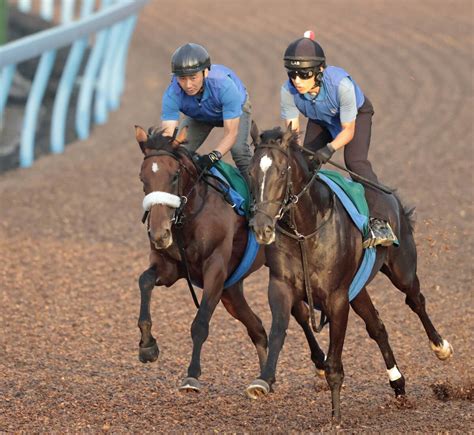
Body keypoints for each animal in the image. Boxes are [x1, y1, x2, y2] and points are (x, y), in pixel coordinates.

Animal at [135, 126, 270, 392]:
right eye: (143, 179)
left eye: (174, 176)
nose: (159, 234)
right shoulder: (170, 267)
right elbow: (144, 281)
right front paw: (147, 346)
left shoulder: (215, 269)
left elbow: (200, 323)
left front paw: (191, 375)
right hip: (232, 292)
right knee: (258, 329)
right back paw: (265, 380)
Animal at [244, 124, 452, 424]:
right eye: (250, 172)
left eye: (282, 172)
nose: (261, 227)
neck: (306, 231)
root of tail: (391, 196)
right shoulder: (281, 288)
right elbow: (279, 331)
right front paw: (263, 380)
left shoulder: (337, 298)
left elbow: (335, 362)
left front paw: (336, 417)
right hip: (359, 289)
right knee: (377, 327)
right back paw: (398, 384)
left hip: (402, 269)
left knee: (415, 300)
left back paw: (440, 346)